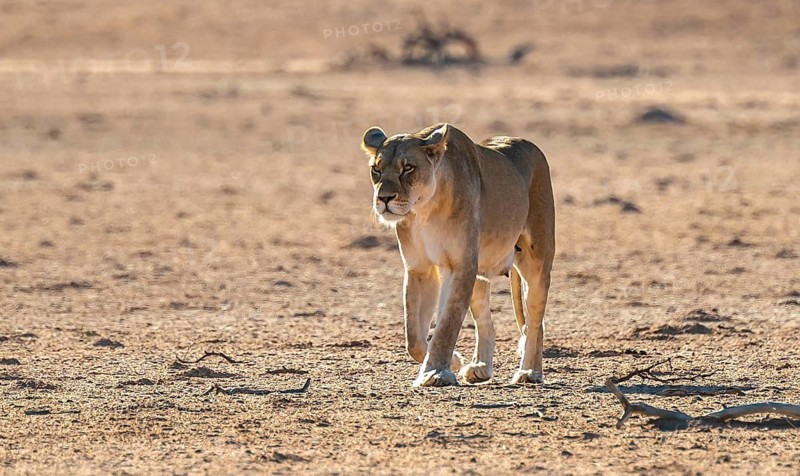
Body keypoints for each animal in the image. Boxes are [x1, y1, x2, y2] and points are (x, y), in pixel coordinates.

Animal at [361, 123, 555, 387]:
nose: (384, 198)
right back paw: (480, 367)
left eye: (408, 168)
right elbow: (414, 337)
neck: (425, 210)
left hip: (536, 262)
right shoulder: (420, 268)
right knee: (486, 323)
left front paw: (436, 372)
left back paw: (530, 372)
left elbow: (447, 324)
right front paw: (452, 361)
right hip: (480, 274)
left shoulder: (462, 265)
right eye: (376, 170)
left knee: (535, 320)